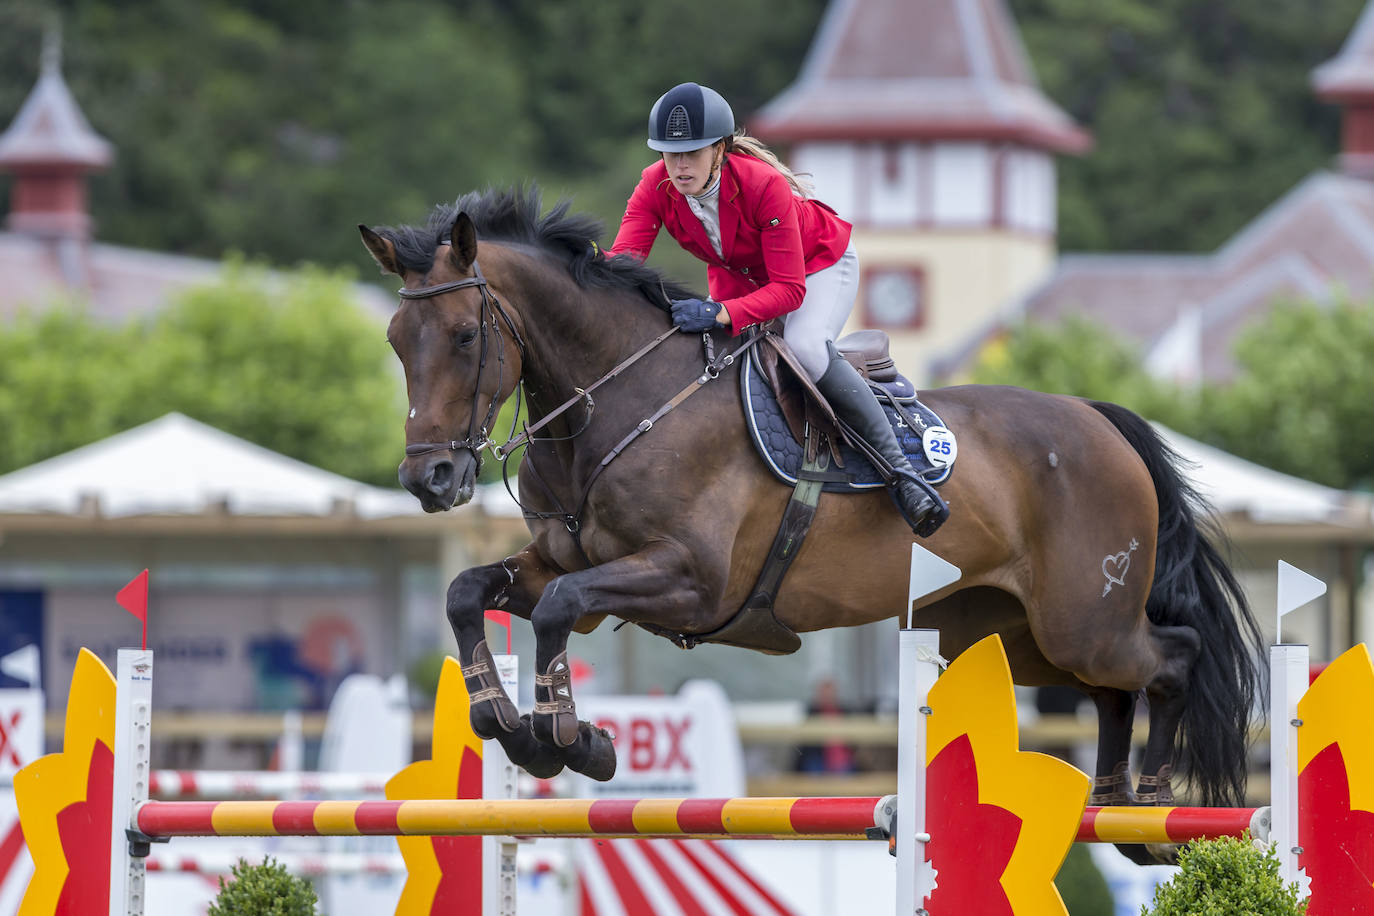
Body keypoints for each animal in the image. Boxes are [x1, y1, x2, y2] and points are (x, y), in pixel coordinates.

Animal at [357, 184, 1264, 823]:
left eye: (465, 337)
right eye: (397, 343)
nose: (429, 479)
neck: (615, 403)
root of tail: (1102, 422)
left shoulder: (687, 581)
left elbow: (555, 612)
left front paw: (573, 744)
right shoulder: (565, 566)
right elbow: (469, 592)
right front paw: (509, 725)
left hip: (1082, 619)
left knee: (1173, 657)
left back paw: (1153, 793)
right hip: (1021, 634)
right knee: (1113, 689)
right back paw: (1113, 800)